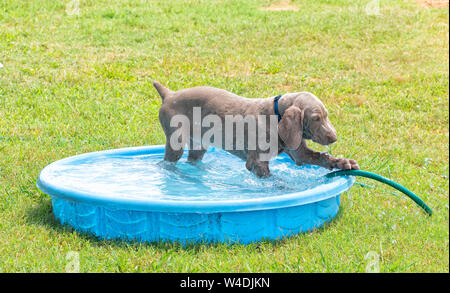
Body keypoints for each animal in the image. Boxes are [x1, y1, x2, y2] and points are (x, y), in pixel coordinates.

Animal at [154, 81, 358, 178]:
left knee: (192, 159)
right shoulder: (256, 163)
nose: (333, 138)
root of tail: (169, 94)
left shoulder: (299, 153)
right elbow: (273, 180)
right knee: (167, 163)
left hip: (199, 143)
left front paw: (343, 162)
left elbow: (322, 157)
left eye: (326, 115)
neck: (276, 115)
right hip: (176, 140)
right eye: (316, 118)